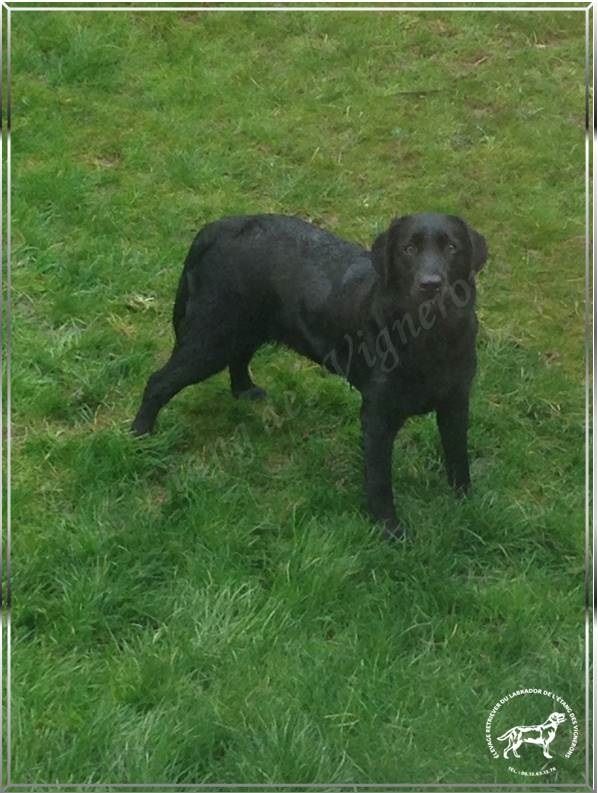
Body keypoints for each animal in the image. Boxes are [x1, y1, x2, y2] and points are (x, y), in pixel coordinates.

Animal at [131, 212, 488, 540]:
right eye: (408, 249)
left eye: (452, 247)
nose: (431, 284)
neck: (432, 339)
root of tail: (218, 226)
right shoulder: (377, 415)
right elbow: (380, 480)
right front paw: (389, 530)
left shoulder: (456, 403)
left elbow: (459, 457)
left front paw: (465, 504)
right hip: (211, 337)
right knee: (158, 382)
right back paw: (140, 436)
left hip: (246, 327)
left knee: (238, 358)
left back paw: (246, 392)